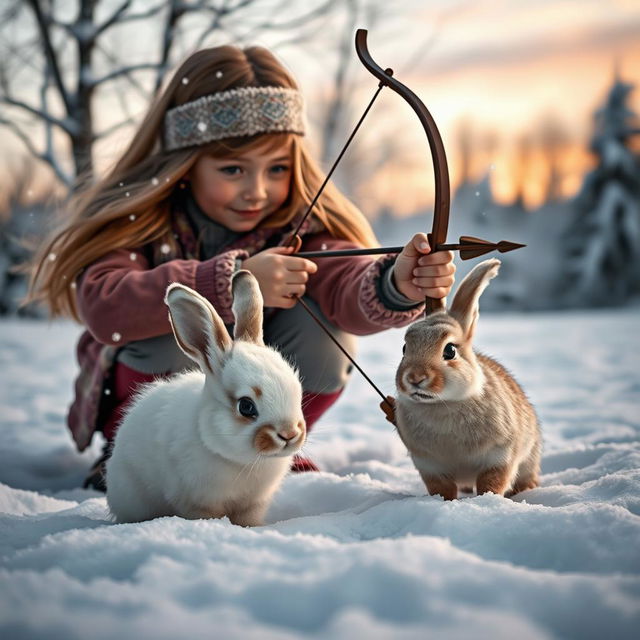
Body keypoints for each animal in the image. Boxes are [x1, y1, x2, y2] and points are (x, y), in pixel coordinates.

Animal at [105, 270, 304, 524]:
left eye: (298, 391)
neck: (242, 461)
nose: (289, 434)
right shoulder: (198, 503)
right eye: (246, 406)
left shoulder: (253, 504)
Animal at [390, 258, 540, 500]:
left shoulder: (499, 456)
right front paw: (445, 502)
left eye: (450, 350)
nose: (414, 377)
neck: (444, 403)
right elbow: (442, 489)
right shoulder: (430, 466)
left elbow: (492, 482)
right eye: (405, 348)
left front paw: (487, 500)